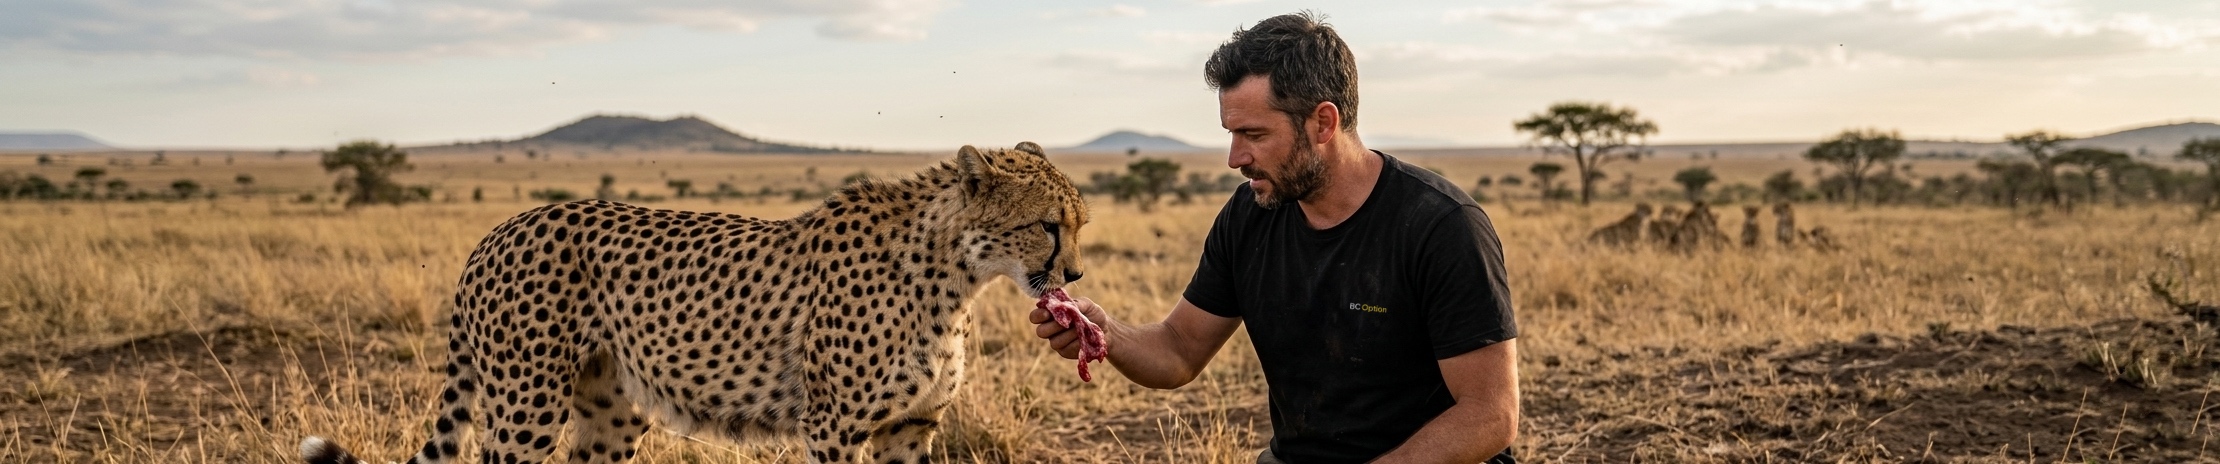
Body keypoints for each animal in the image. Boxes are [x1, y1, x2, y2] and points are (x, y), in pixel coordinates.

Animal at [300, 142, 1088, 464]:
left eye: (1079, 222)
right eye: (1049, 225)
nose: (1076, 275)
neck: (952, 275)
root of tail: (502, 227)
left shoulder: (909, 425)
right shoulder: (834, 425)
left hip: (610, 409)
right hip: (526, 403)